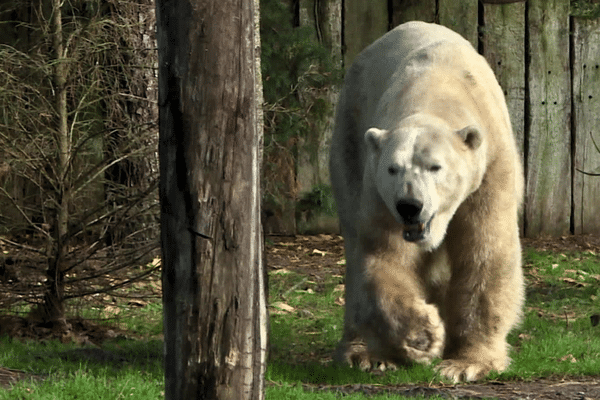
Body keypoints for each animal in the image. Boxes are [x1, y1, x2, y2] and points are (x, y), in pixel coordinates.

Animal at [330, 21, 524, 382]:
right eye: (393, 168)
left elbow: (485, 253)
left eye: (436, 167)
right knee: (354, 249)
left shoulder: (490, 169)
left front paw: (466, 363)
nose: (410, 206)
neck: (437, 89)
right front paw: (423, 335)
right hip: (349, 138)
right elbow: (385, 255)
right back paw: (364, 353)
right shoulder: (379, 190)